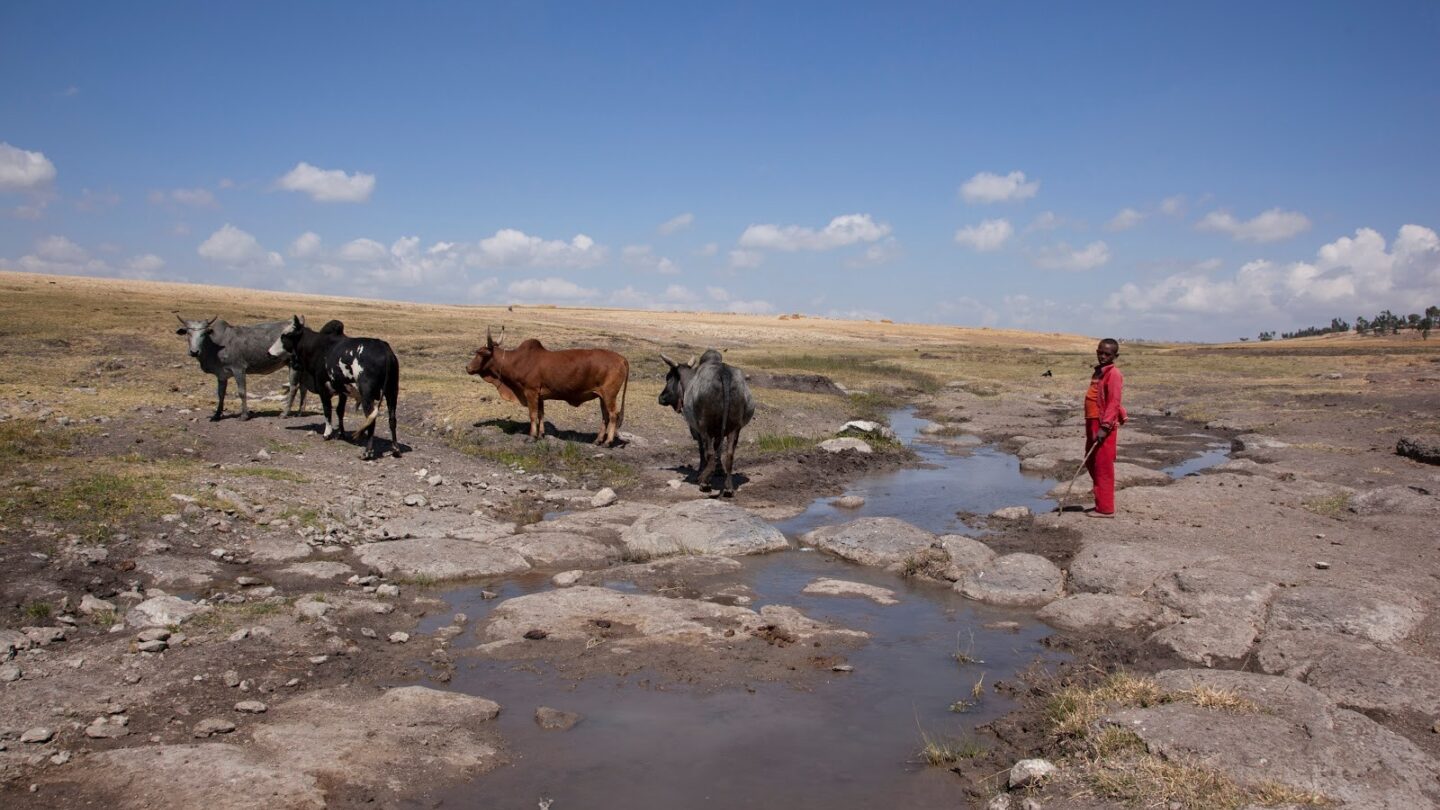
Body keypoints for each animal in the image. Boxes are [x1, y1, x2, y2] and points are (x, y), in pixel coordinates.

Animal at [175, 315, 306, 421]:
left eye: (203, 334)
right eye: (188, 333)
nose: (194, 352)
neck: (216, 345)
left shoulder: (238, 369)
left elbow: (242, 392)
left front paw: (244, 416)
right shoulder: (221, 375)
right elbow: (221, 394)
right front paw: (217, 415)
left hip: (292, 364)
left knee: (294, 387)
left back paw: (284, 413)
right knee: (303, 388)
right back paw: (300, 412)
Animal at [269, 315, 401, 460]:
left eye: (284, 335)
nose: (269, 352)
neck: (317, 347)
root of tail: (385, 350)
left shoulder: (323, 388)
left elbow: (327, 410)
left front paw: (327, 433)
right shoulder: (343, 391)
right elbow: (339, 411)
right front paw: (341, 434)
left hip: (368, 395)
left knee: (371, 419)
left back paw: (367, 452)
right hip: (392, 392)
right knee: (392, 419)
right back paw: (395, 449)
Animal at [466, 328, 628, 446]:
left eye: (479, 353)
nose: (467, 367)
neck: (517, 361)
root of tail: (621, 358)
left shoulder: (530, 392)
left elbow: (532, 415)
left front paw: (532, 437)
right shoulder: (540, 396)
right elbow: (541, 414)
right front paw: (541, 434)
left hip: (609, 395)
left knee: (613, 415)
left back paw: (608, 442)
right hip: (601, 396)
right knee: (605, 416)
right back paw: (598, 440)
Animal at [658, 349, 755, 497]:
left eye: (668, 377)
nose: (661, 398)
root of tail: (724, 373)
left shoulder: (697, 429)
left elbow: (702, 450)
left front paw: (701, 472)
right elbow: (718, 450)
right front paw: (718, 470)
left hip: (705, 426)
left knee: (708, 452)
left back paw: (704, 483)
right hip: (735, 428)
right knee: (729, 454)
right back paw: (727, 487)